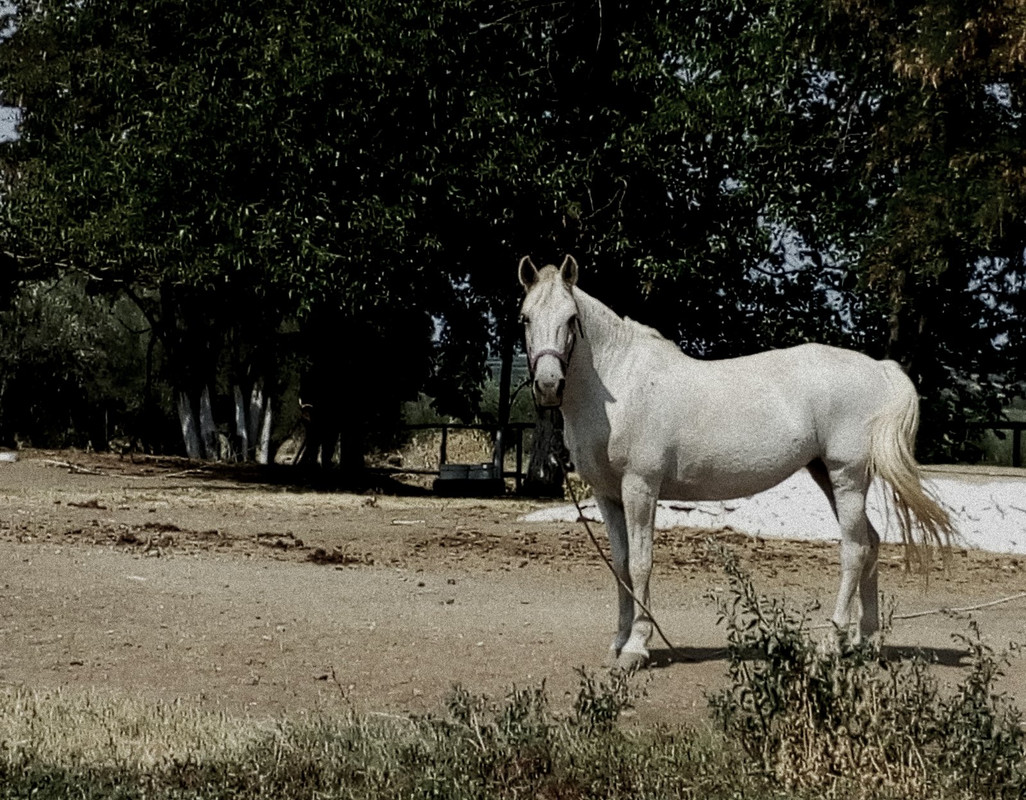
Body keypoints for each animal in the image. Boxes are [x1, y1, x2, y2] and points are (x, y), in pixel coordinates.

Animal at [521, 254, 952, 668]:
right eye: (525, 317)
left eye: (571, 319)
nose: (548, 385)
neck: (621, 384)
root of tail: (880, 368)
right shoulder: (606, 495)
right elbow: (622, 565)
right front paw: (619, 642)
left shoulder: (640, 487)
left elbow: (641, 563)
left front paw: (637, 648)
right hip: (827, 475)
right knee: (873, 544)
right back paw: (865, 643)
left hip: (846, 476)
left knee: (855, 549)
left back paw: (831, 644)